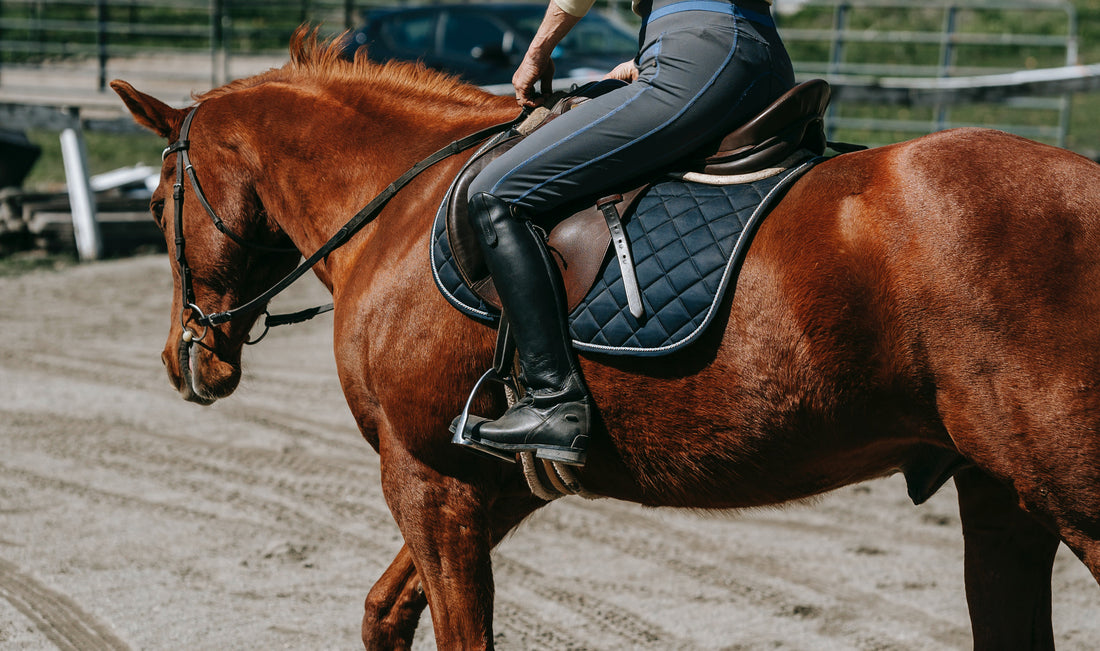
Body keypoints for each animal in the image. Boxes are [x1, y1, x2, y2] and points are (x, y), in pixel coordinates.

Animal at [111, 28, 1100, 649]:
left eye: (157, 206)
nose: (184, 359)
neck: (404, 207)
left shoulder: (426, 478)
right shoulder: (497, 481)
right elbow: (384, 612)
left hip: (1073, 498)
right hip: (1007, 500)